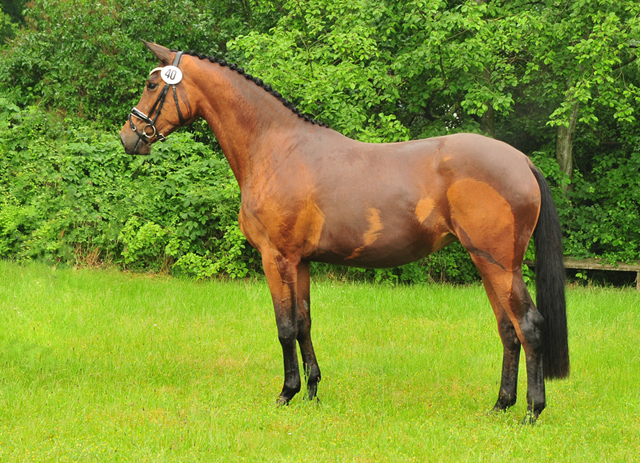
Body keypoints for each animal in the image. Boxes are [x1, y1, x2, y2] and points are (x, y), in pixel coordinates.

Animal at [120, 40, 568, 424]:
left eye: (152, 84)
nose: (128, 136)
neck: (275, 147)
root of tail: (521, 160)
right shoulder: (300, 262)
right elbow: (303, 323)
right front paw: (312, 392)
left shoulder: (275, 257)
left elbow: (284, 327)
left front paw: (286, 393)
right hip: (487, 263)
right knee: (508, 330)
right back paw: (500, 405)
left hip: (500, 264)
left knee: (529, 326)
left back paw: (532, 411)